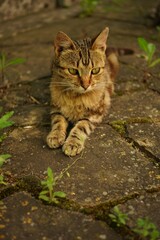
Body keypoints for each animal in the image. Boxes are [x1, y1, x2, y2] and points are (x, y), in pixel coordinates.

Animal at [46, 27, 119, 157]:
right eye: (72, 71)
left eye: (95, 70)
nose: (85, 85)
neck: (75, 97)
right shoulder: (55, 108)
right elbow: (58, 121)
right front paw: (55, 135)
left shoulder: (94, 114)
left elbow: (81, 126)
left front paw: (73, 143)